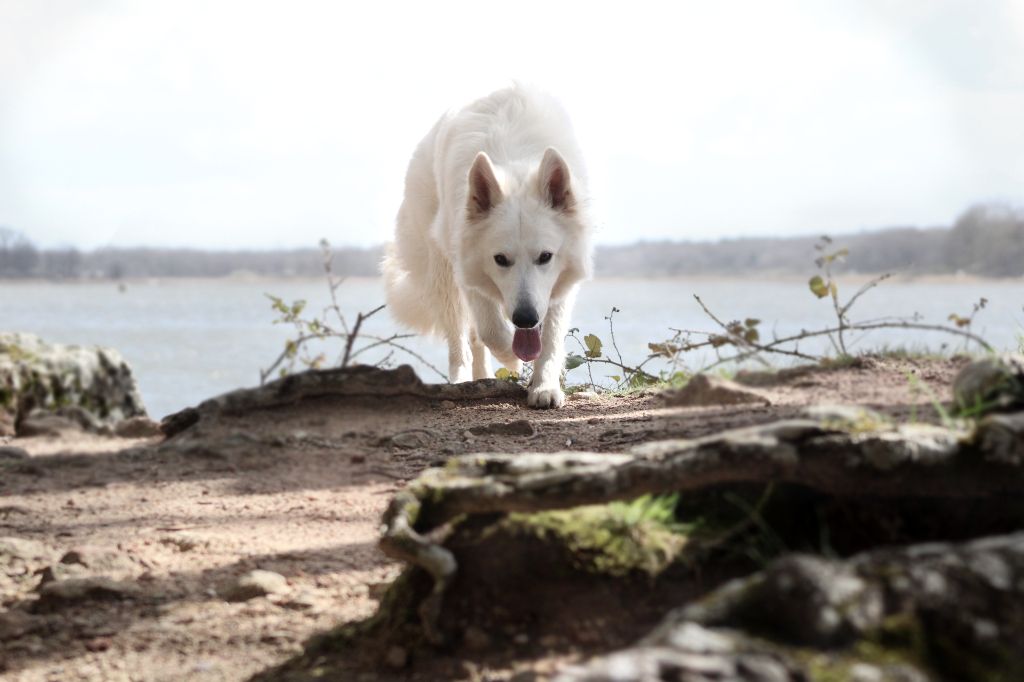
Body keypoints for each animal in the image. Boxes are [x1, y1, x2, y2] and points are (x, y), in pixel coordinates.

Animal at [382, 84, 593, 403]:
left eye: (545, 257)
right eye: (500, 259)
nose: (525, 318)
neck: (515, 163)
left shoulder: (559, 284)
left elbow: (551, 337)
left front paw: (545, 387)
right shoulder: (467, 265)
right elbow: (491, 330)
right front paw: (514, 360)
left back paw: (484, 378)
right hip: (444, 273)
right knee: (463, 340)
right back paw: (461, 380)